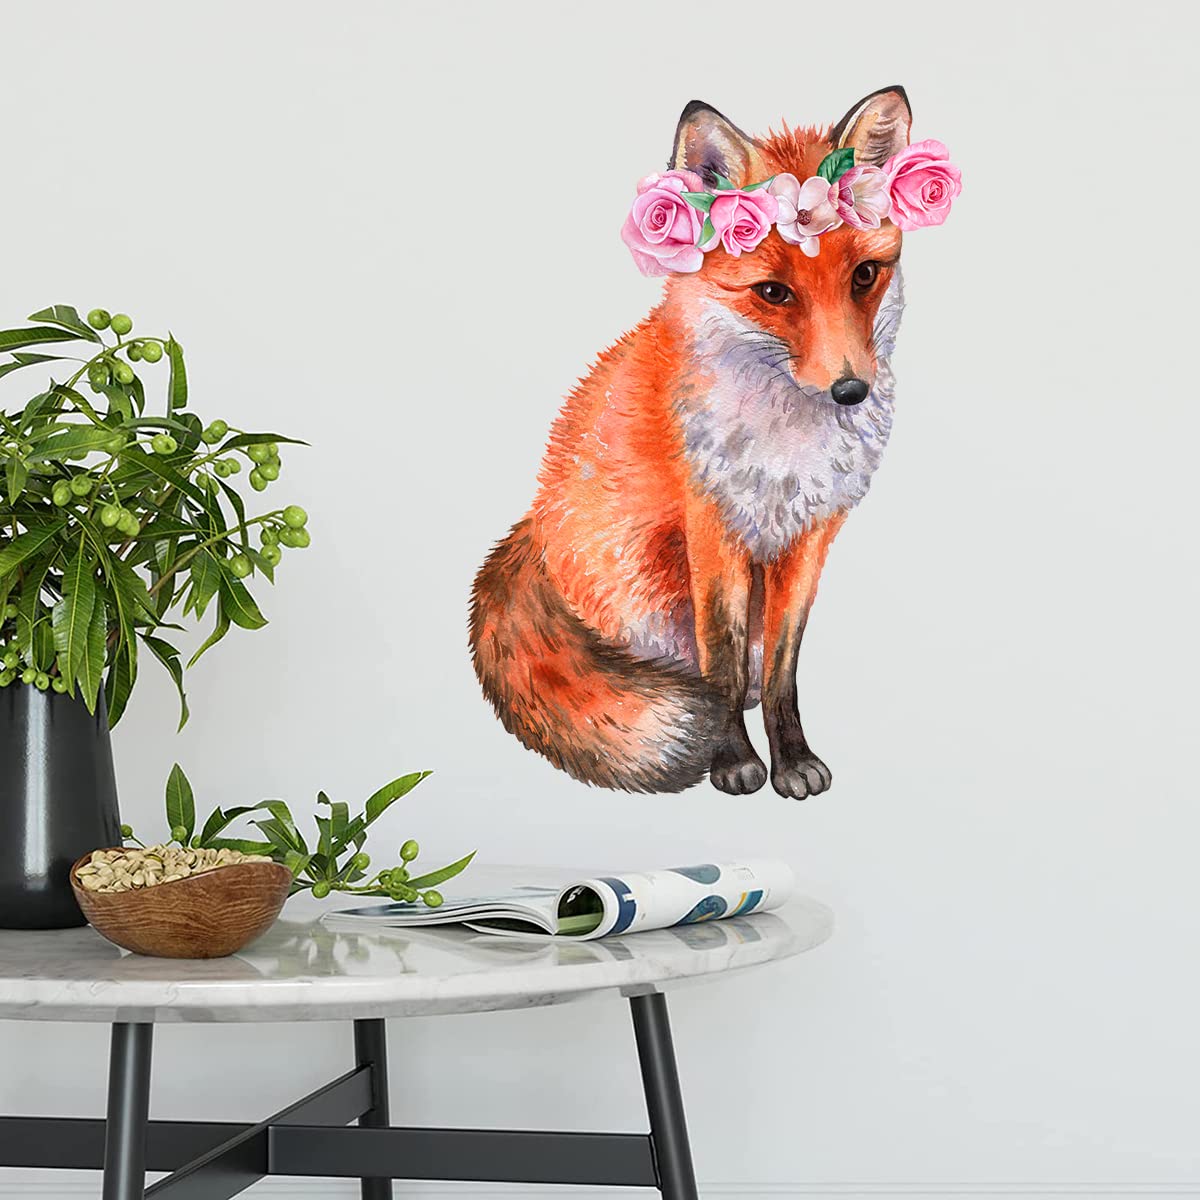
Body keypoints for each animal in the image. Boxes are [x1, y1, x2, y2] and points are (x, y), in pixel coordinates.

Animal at [470, 86, 921, 799]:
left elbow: (781, 673)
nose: (850, 391)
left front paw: (790, 757)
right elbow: (722, 662)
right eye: (773, 292)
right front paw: (731, 757)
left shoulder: (809, 537)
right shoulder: (711, 527)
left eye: (865, 276)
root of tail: (531, 535)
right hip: (645, 584)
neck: (785, 451)